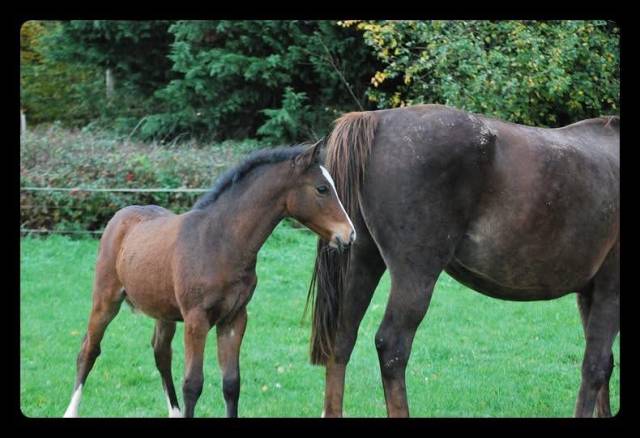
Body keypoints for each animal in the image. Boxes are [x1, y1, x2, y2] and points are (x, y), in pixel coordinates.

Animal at [63, 141, 356, 418]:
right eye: (321, 188)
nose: (349, 234)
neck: (220, 241)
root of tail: (120, 216)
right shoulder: (197, 319)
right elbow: (193, 383)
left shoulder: (234, 318)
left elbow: (231, 383)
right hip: (106, 300)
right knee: (88, 350)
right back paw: (71, 410)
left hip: (164, 311)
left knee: (161, 353)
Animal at [307, 104, 619, 418]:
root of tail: (378, 118)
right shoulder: (608, 292)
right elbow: (595, 367)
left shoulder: (588, 294)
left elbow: (604, 367)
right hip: (415, 277)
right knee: (392, 348)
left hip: (360, 263)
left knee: (342, 339)